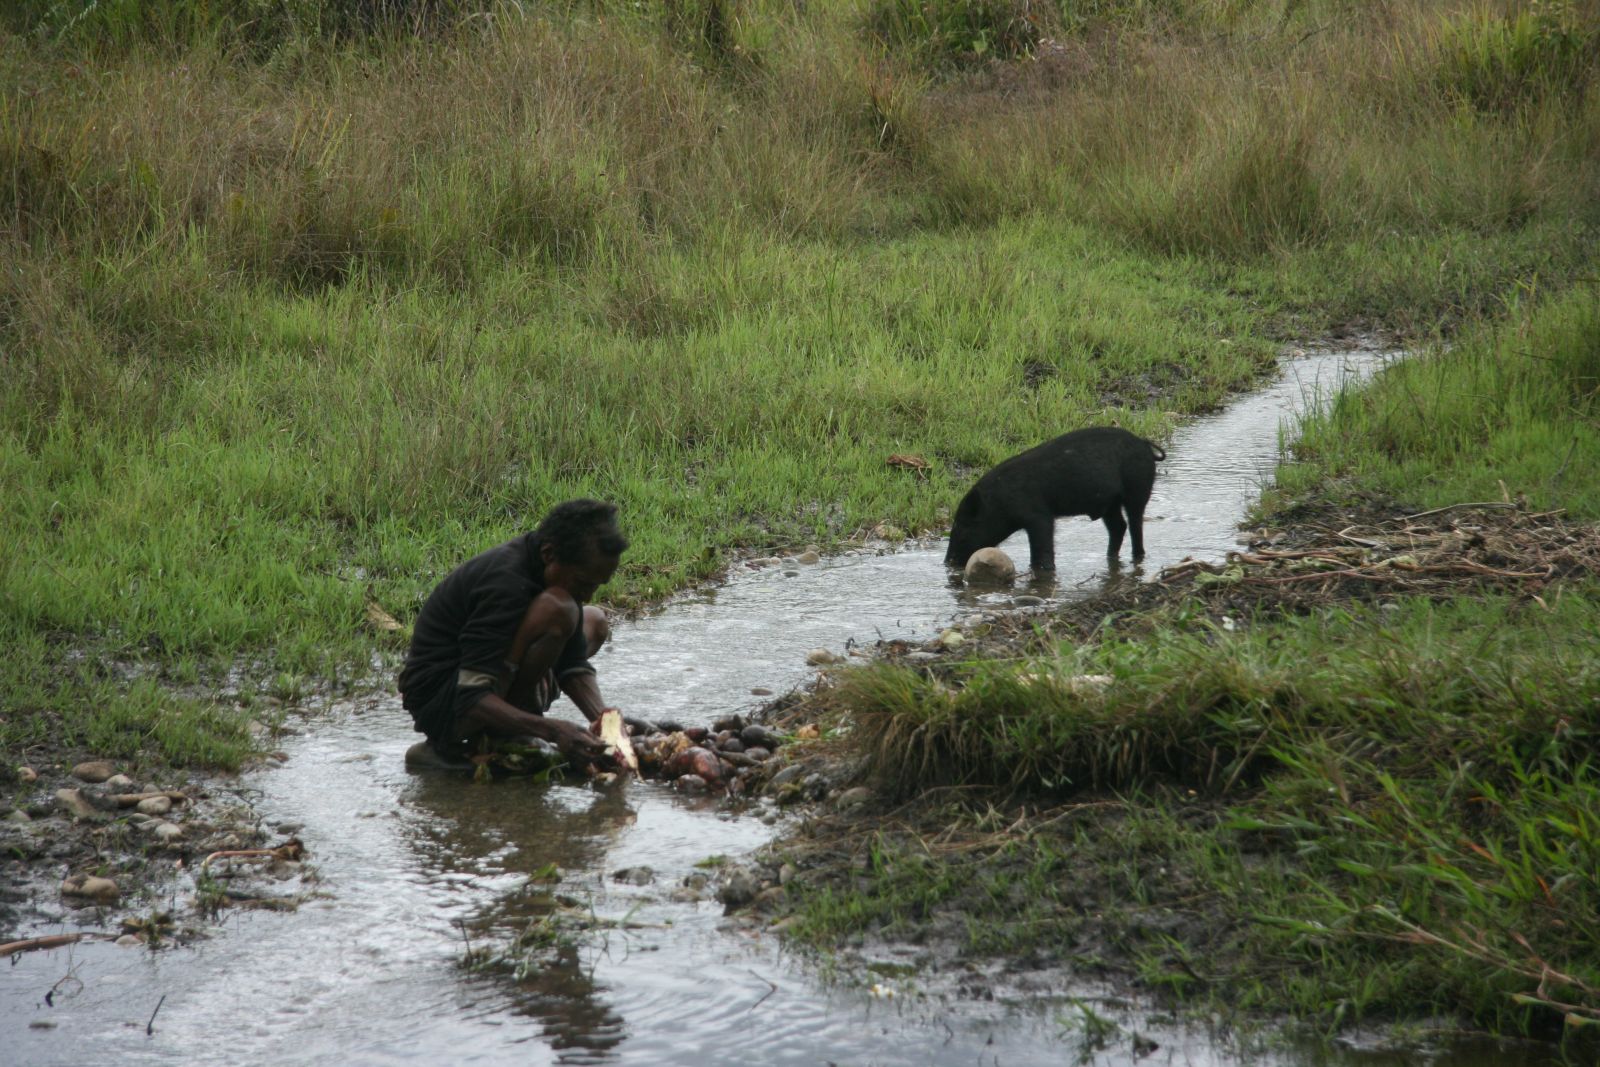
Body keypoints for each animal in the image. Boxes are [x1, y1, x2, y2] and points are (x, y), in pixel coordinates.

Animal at [940, 428, 1171, 572]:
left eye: (962, 526)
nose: (948, 561)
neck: (998, 502)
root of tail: (1144, 444)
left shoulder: (1038, 515)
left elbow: (1042, 544)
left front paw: (1045, 570)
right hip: (1111, 503)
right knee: (1118, 526)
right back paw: (1110, 557)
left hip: (1138, 487)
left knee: (1134, 524)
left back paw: (1137, 557)